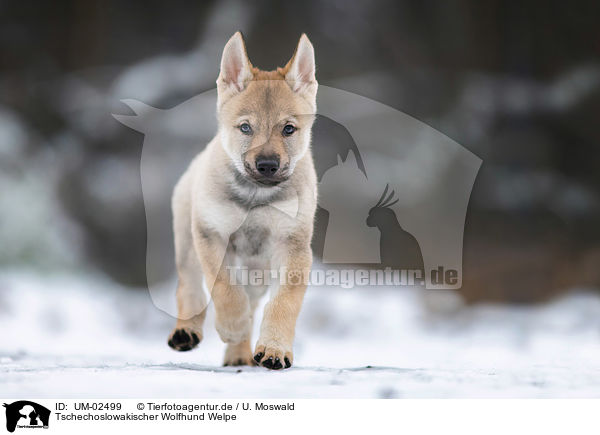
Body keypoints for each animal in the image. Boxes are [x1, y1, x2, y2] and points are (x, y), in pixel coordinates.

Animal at [166, 33, 318, 372]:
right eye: (246, 127)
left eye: (288, 129)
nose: (267, 165)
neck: (256, 197)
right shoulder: (212, 234)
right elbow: (223, 287)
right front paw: (232, 325)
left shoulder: (293, 246)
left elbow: (284, 302)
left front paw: (274, 349)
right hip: (188, 242)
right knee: (189, 286)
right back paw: (187, 331)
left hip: (257, 272)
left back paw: (239, 354)